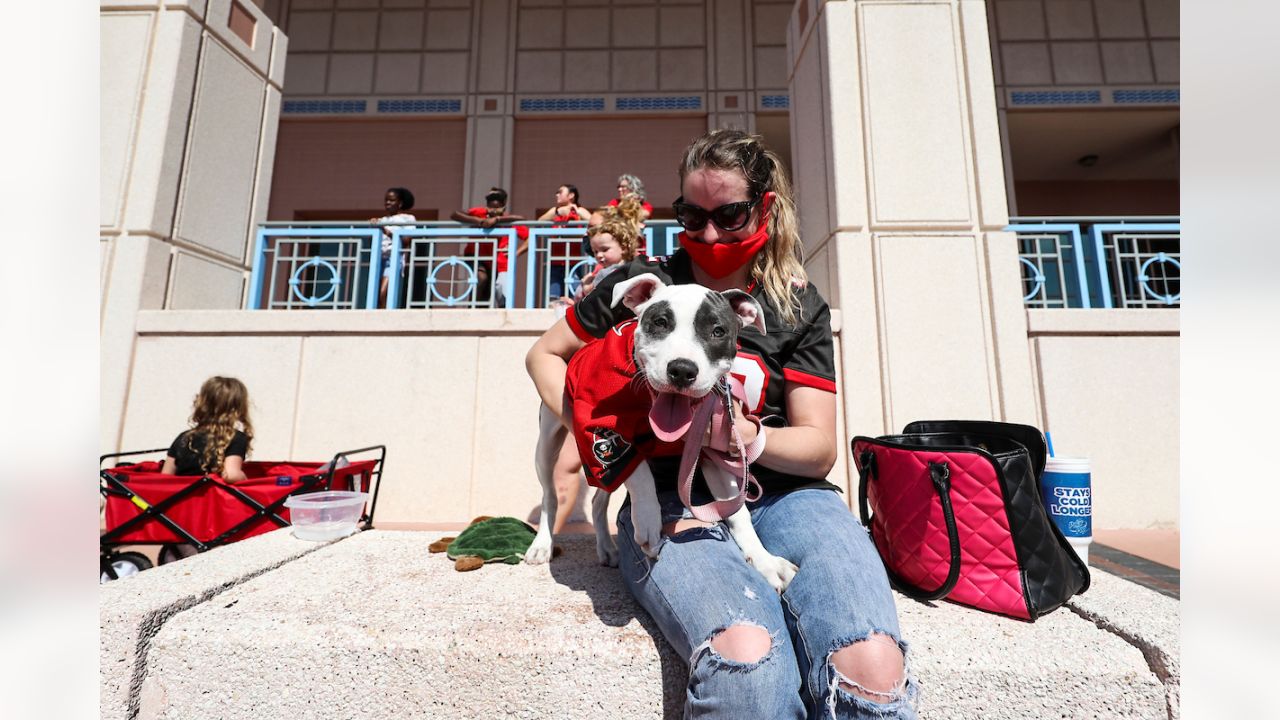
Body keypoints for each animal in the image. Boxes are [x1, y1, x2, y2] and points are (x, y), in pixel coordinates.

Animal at [524, 271, 793, 591]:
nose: (682, 370)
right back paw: (542, 545)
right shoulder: (602, 433)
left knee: (598, 500)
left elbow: (737, 512)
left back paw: (607, 548)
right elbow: (639, 471)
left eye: (718, 331)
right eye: (660, 322)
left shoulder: (715, 449)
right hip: (547, 444)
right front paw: (649, 520)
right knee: (550, 495)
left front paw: (764, 561)